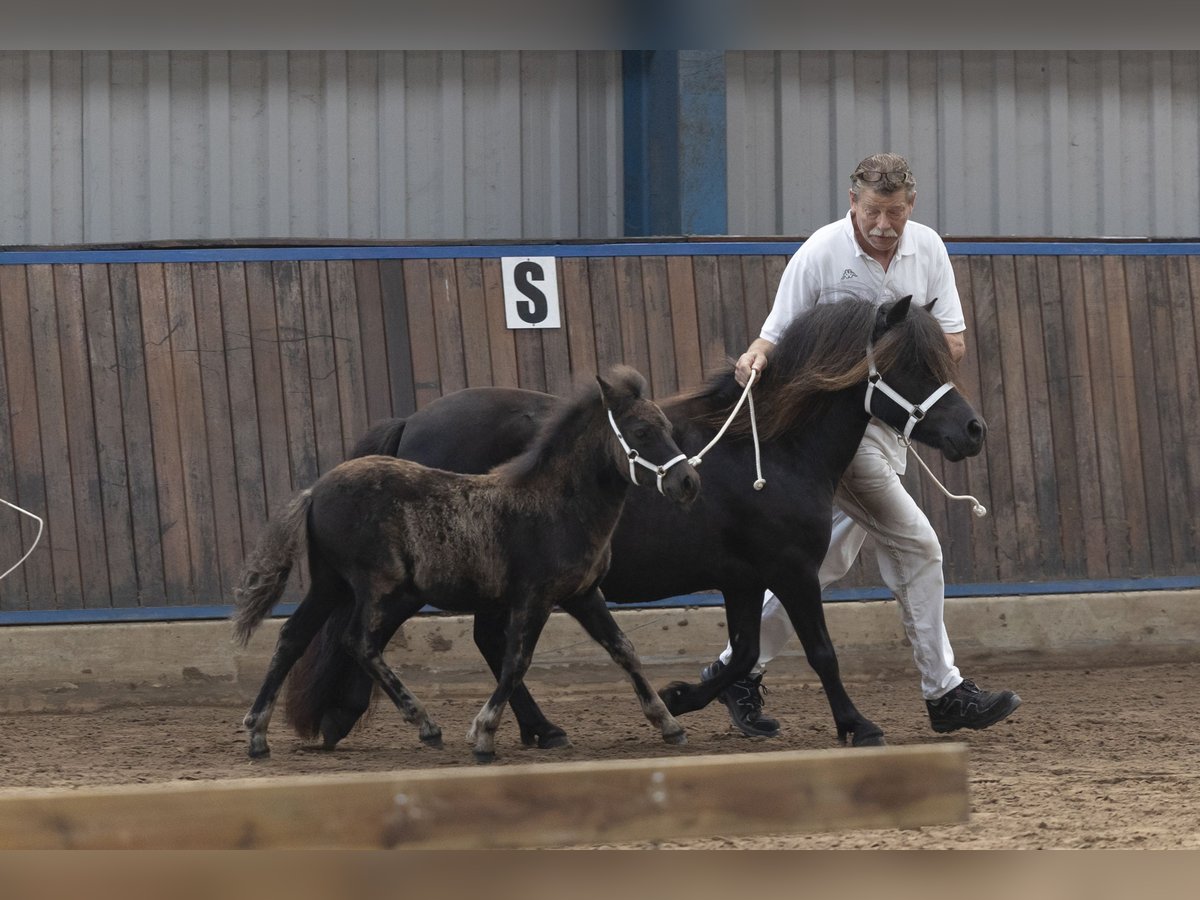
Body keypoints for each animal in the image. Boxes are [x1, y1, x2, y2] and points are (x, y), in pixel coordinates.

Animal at [232, 362, 700, 763]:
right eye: (641, 430)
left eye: (668, 427)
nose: (688, 482)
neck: (556, 505)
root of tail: (314, 492)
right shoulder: (534, 596)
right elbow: (516, 661)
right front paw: (484, 735)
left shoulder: (583, 595)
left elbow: (623, 649)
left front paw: (669, 724)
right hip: (379, 586)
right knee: (359, 641)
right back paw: (426, 725)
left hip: (331, 583)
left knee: (293, 637)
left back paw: (258, 735)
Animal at [285, 300, 988, 748]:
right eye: (912, 365)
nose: (974, 429)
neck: (770, 448)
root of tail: (410, 425)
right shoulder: (790, 571)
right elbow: (821, 651)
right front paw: (856, 725)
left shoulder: (741, 578)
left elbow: (744, 653)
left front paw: (678, 700)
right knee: (385, 636)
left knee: (480, 641)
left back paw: (534, 729)